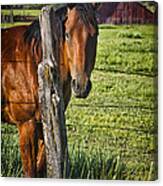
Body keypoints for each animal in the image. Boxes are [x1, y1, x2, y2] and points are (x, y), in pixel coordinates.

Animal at [1, 2, 98, 177]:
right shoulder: (26, 125)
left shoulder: (44, 125)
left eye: (95, 34)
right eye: (67, 34)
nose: (81, 86)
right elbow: (30, 171)